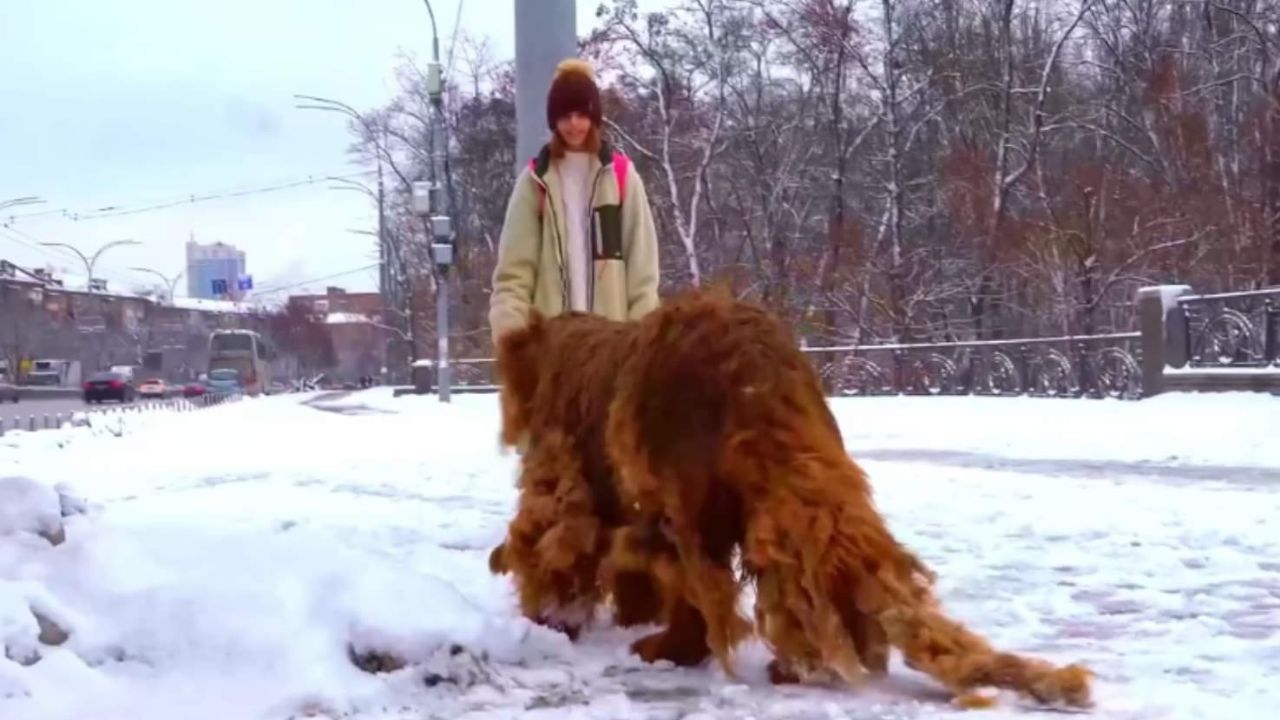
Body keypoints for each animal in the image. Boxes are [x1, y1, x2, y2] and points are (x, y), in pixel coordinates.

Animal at [486, 286, 1090, 707]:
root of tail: (762, 372)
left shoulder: (573, 485)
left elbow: (560, 550)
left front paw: (554, 619)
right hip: (775, 492)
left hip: (692, 496)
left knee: (701, 582)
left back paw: (673, 649)